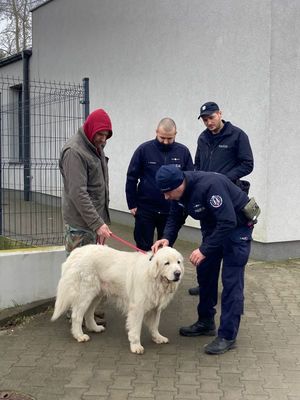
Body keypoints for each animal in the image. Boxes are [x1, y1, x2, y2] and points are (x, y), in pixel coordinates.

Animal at [51, 244, 183, 354]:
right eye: (167, 263)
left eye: (178, 262)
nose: (178, 273)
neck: (153, 277)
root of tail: (76, 252)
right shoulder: (137, 308)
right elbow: (136, 329)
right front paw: (136, 346)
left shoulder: (156, 308)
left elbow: (155, 325)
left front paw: (158, 337)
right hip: (86, 294)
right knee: (77, 316)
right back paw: (79, 335)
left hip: (96, 295)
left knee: (89, 313)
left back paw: (95, 328)